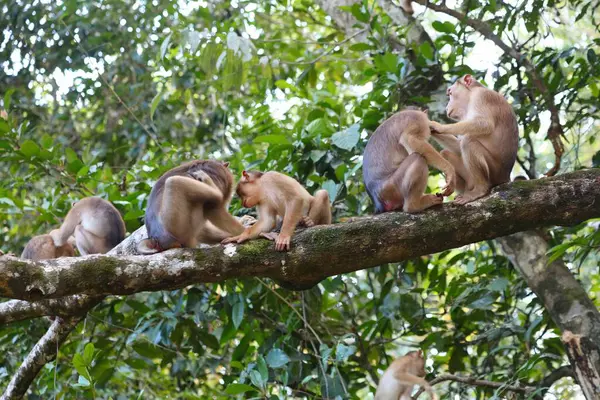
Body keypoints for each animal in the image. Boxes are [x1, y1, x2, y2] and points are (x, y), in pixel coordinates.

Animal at [428, 74, 516, 205]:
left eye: (450, 93)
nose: (447, 107)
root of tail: (506, 177)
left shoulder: (481, 96)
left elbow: (484, 124)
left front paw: (438, 126)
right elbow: (458, 147)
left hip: (495, 172)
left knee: (468, 142)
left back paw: (479, 190)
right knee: (446, 153)